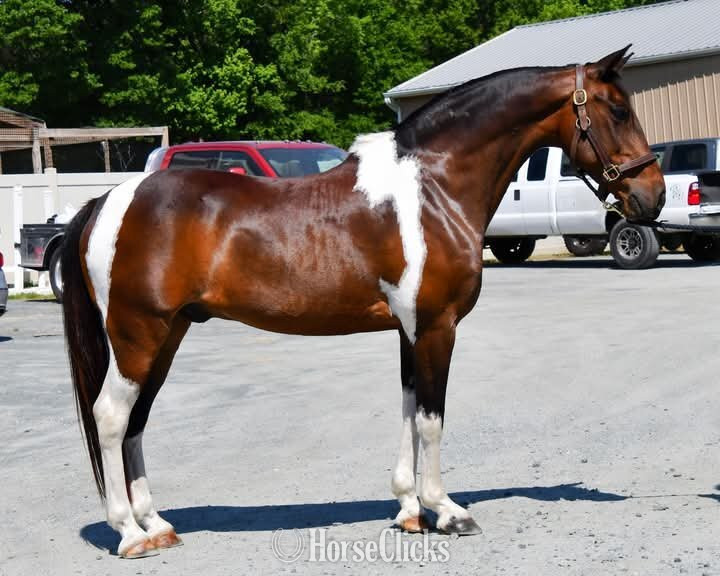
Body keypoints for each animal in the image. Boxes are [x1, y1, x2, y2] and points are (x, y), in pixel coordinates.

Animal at [62, 46, 665, 558]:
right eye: (616, 110)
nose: (653, 196)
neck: (433, 188)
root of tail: (107, 200)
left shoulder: (408, 329)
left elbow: (408, 409)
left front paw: (409, 510)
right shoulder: (437, 326)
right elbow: (431, 418)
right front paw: (447, 511)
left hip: (167, 336)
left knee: (136, 419)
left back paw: (157, 524)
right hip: (139, 335)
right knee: (111, 416)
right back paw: (129, 533)